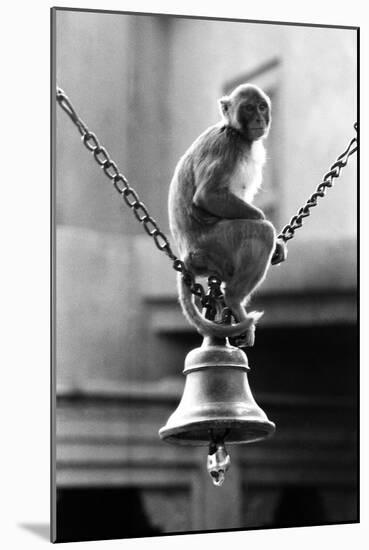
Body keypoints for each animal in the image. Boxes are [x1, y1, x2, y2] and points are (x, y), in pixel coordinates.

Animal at [168, 83, 286, 348]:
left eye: (261, 106)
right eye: (248, 108)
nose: (259, 118)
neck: (238, 135)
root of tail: (188, 255)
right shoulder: (226, 146)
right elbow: (207, 196)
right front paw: (268, 227)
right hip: (216, 243)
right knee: (260, 232)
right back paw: (234, 300)